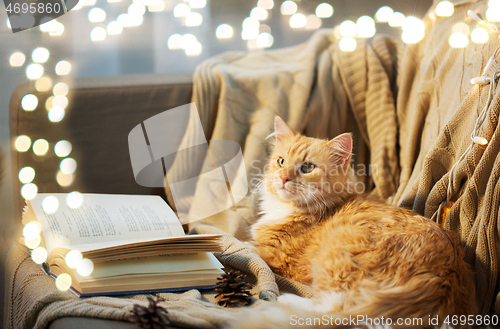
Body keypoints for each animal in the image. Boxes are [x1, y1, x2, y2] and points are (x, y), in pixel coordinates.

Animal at [248, 116, 474, 326]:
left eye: (307, 168)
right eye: (281, 162)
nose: (283, 178)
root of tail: (443, 278)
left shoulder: (276, 256)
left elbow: (247, 246)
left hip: (338, 255)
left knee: (334, 308)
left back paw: (285, 300)